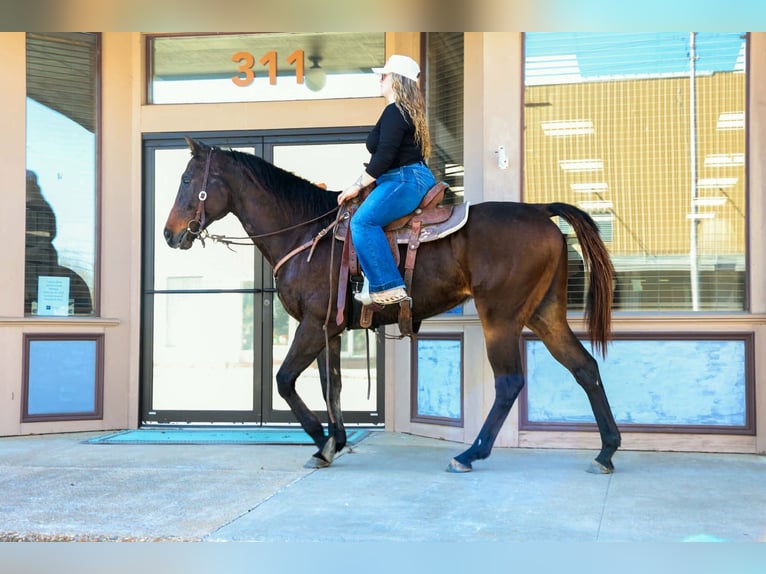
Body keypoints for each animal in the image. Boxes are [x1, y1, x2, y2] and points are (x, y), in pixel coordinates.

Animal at [163, 137, 622, 474]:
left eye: (186, 179)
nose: (169, 234)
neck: (307, 234)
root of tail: (542, 211)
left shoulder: (312, 325)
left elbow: (285, 380)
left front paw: (322, 441)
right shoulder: (330, 329)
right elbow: (331, 385)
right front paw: (336, 440)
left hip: (502, 318)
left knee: (510, 382)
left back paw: (470, 454)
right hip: (546, 314)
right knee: (585, 367)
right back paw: (606, 450)